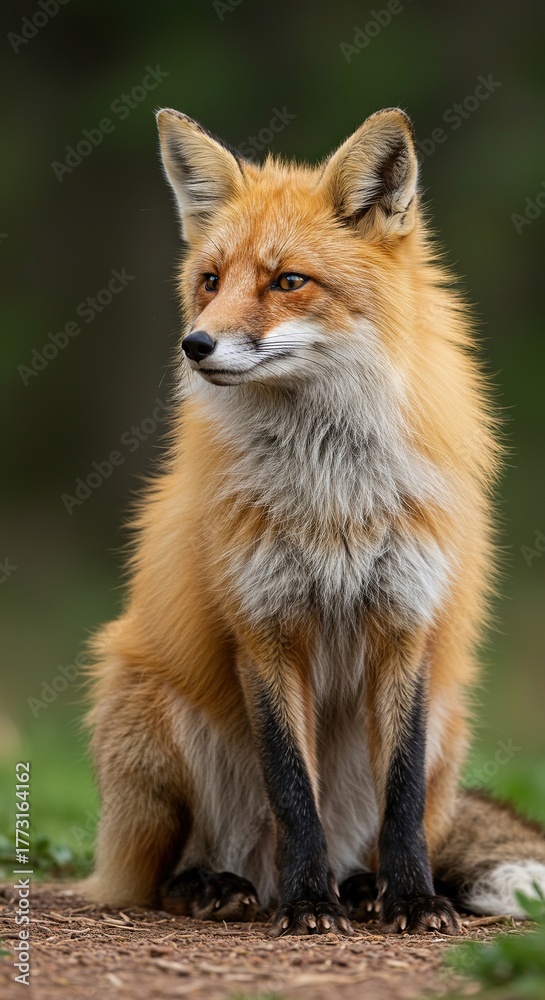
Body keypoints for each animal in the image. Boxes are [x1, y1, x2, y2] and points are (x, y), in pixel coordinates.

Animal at [83, 106, 545, 936]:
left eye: (287, 281)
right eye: (209, 281)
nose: (194, 344)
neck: (332, 497)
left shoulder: (405, 622)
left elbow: (398, 800)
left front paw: (412, 898)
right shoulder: (262, 628)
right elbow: (293, 789)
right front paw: (306, 903)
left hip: (449, 724)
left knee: (387, 829)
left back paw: (362, 888)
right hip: (144, 711)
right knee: (153, 878)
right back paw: (225, 887)